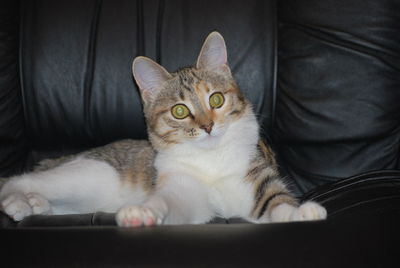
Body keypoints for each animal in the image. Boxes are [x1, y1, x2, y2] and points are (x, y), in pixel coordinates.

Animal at [0, 32, 324, 227]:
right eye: (179, 111)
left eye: (216, 99)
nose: (207, 126)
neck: (211, 161)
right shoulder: (180, 188)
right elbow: (165, 201)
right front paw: (142, 212)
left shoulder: (258, 178)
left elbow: (277, 202)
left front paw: (300, 212)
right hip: (88, 173)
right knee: (16, 180)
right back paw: (18, 201)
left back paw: (36, 204)